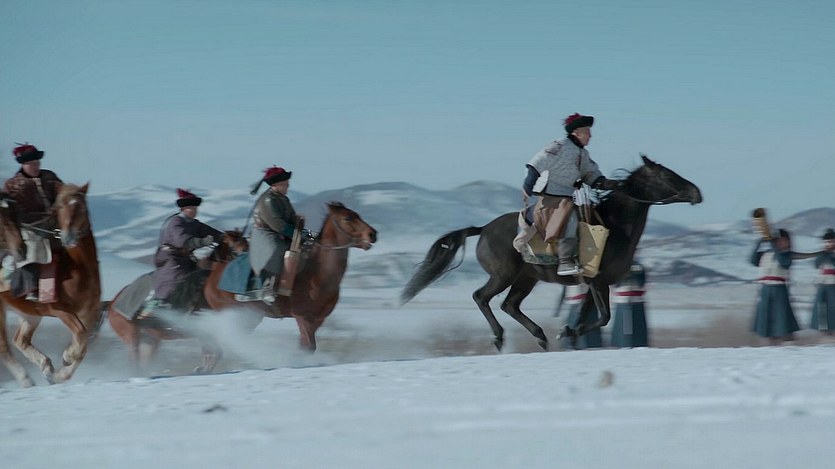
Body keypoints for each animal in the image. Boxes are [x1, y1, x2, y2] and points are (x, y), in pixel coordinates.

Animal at [0, 183, 103, 387]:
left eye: (80, 206)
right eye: (60, 207)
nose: (68, 238)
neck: (76, 268)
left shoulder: (88, 314)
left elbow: (84, 342)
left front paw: (58, 374)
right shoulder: (61, 310)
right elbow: (80, 337)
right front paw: (67, 357)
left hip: (30, 315)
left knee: (20, 340)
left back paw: (46, 367)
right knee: (4, 346)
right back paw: (25, 379)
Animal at [401, 155, 702, 351]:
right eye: (666, 175)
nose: (696, 192)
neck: (615, 225)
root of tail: (484, 228)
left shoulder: (595, 284)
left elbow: (591, 316)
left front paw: (569, 333)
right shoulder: (597, 281)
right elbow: (603, 317)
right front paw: (568, 331)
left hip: (526, 278)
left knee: (509, 305)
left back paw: (540, 336)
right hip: (503, 275)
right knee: (481, 297)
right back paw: (499, 337)